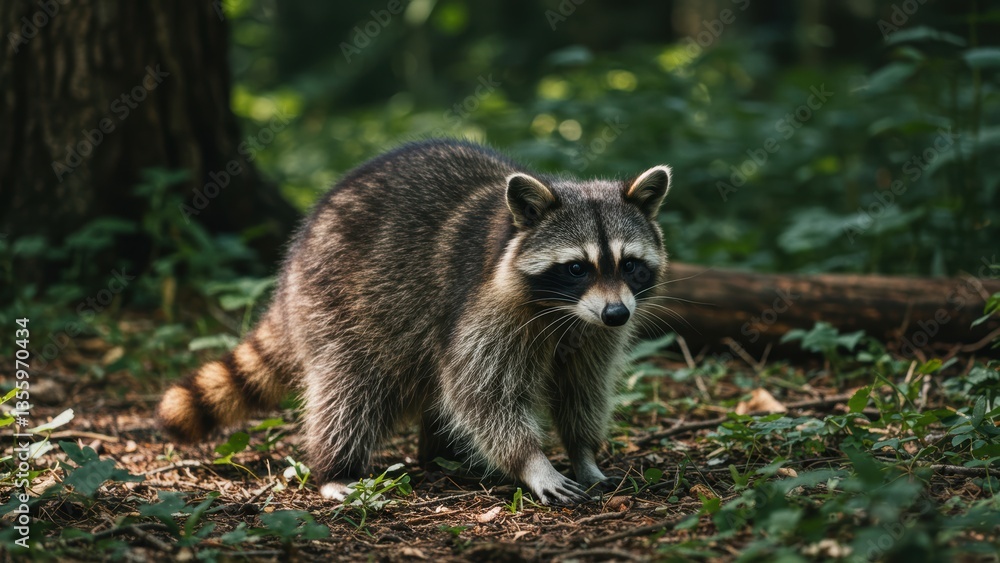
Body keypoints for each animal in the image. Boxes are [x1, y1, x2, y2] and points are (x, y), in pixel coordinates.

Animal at [157, 139, 672, 505]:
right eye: (577, 268)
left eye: (629, 265)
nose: (617, 314)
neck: (564, 311)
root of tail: (289, 271)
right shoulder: (484, 305)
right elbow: (481, 393)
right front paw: (533, 462)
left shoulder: (592, 333)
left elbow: (582, 388)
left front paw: (583, 453)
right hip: (336, 304)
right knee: (351, 392)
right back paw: (335, 469)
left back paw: (442, 457)